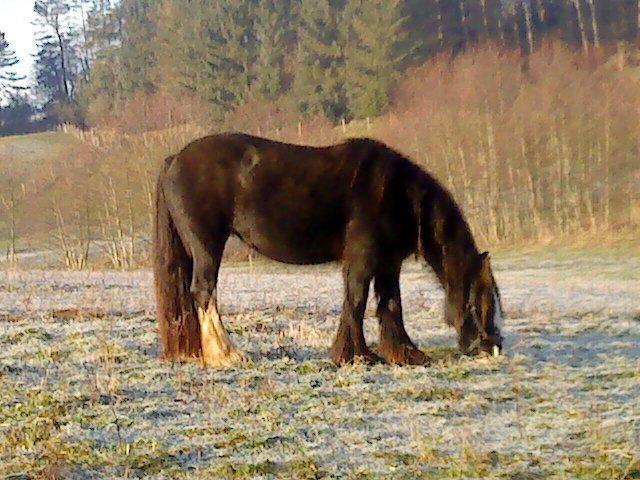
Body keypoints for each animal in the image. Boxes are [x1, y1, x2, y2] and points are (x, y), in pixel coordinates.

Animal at [152, 133, 502, 366]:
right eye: (481, 301)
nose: (493, 345)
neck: (398, 193)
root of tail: (173, 160)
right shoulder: (362, 259)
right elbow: (356, 301)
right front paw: (354, 355)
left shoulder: (388, 264)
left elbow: (391, 306)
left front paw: (405, 353)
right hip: (208, 248)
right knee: (204, 292)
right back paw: (226, 355)